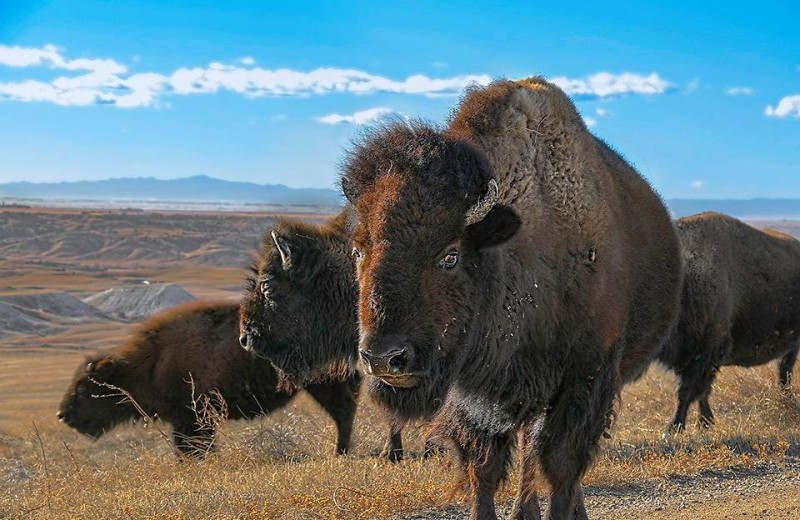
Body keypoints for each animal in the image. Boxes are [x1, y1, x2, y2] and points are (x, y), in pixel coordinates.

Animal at [56, 298, 356, 458]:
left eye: (83, 389)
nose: (62, 415)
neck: (152, 361)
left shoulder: (192, 417)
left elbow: (193, 448)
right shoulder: (187, 420)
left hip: (326, 384)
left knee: (343, 414)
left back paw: (339, 453)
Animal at [338, 78, 680, 520]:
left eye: (450, 255)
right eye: (358, 250)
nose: (384, 358)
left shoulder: (585, 377)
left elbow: (561, 467)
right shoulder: (473, 396)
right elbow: (483, 468)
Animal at [660, 213, 800, 432]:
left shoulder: (704, 354)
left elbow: (688, 392)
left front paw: (674, 428)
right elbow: (700, 393)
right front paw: (704, 423)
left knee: (785, 373)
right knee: (784, 373)